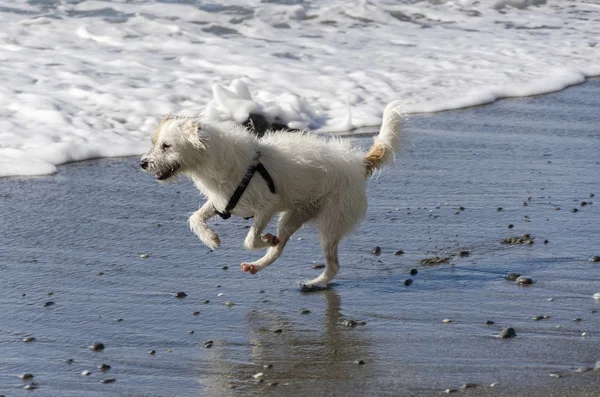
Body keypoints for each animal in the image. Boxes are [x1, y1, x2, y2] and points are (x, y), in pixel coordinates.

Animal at [142, 100, 404, 290]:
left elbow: (250, 240)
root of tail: (358, 163)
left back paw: (314, 283)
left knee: (332, 265)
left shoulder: (266, 208)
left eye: (166, 146)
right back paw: (259, 266)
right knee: (281, 249)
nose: (143, 163)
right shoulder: (223, 202)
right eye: (154, 143)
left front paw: (264, 240)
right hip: (293, 216)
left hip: (330, 222)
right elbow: (195, 218)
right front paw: (209, 237)